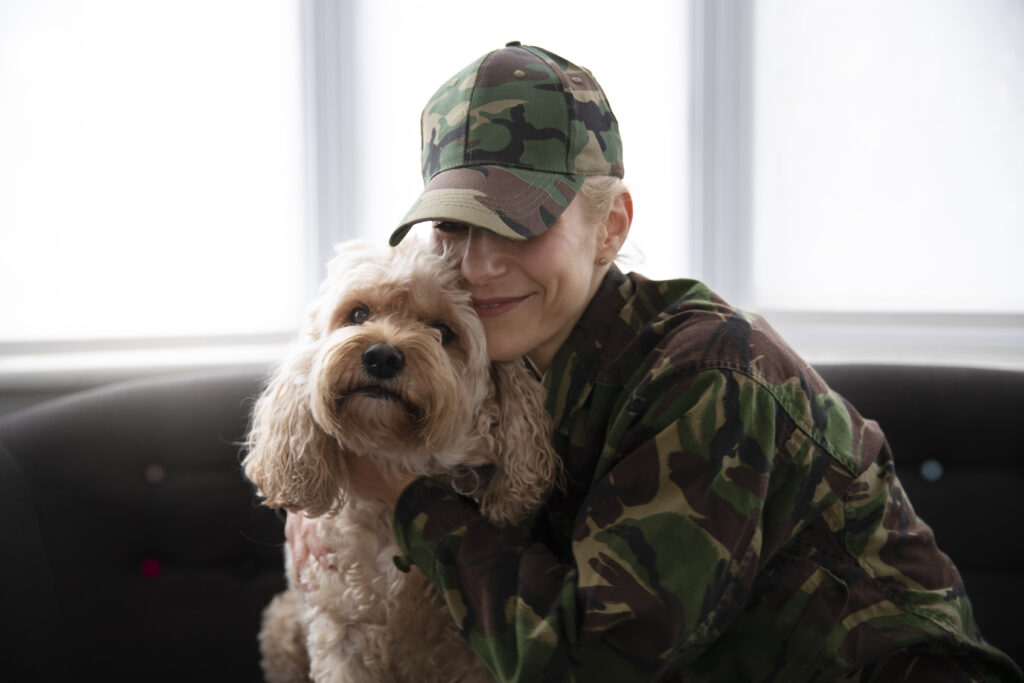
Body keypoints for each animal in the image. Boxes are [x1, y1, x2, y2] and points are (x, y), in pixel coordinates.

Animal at [241, 240, 561, 683]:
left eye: (443, 332)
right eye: (358, 314)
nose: (382, 357)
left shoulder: (472, 658)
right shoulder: (339, 635)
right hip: (282, 626)